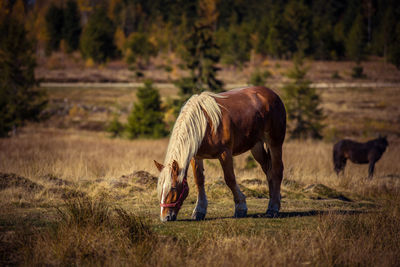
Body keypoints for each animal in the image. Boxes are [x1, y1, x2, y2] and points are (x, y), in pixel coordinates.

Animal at [152, 86, 284, 222]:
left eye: (173, 187)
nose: (165, 217)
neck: (205, 124)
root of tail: (271, 93)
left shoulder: (225, 153)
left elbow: (230, 179)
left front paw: (241, 207)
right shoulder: (196, 157)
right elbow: (199, 180)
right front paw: (199, 210)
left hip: (275, 143)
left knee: (277, 171)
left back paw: (273, 209)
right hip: (256, 147)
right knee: (269, 172)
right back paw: (273, 202)